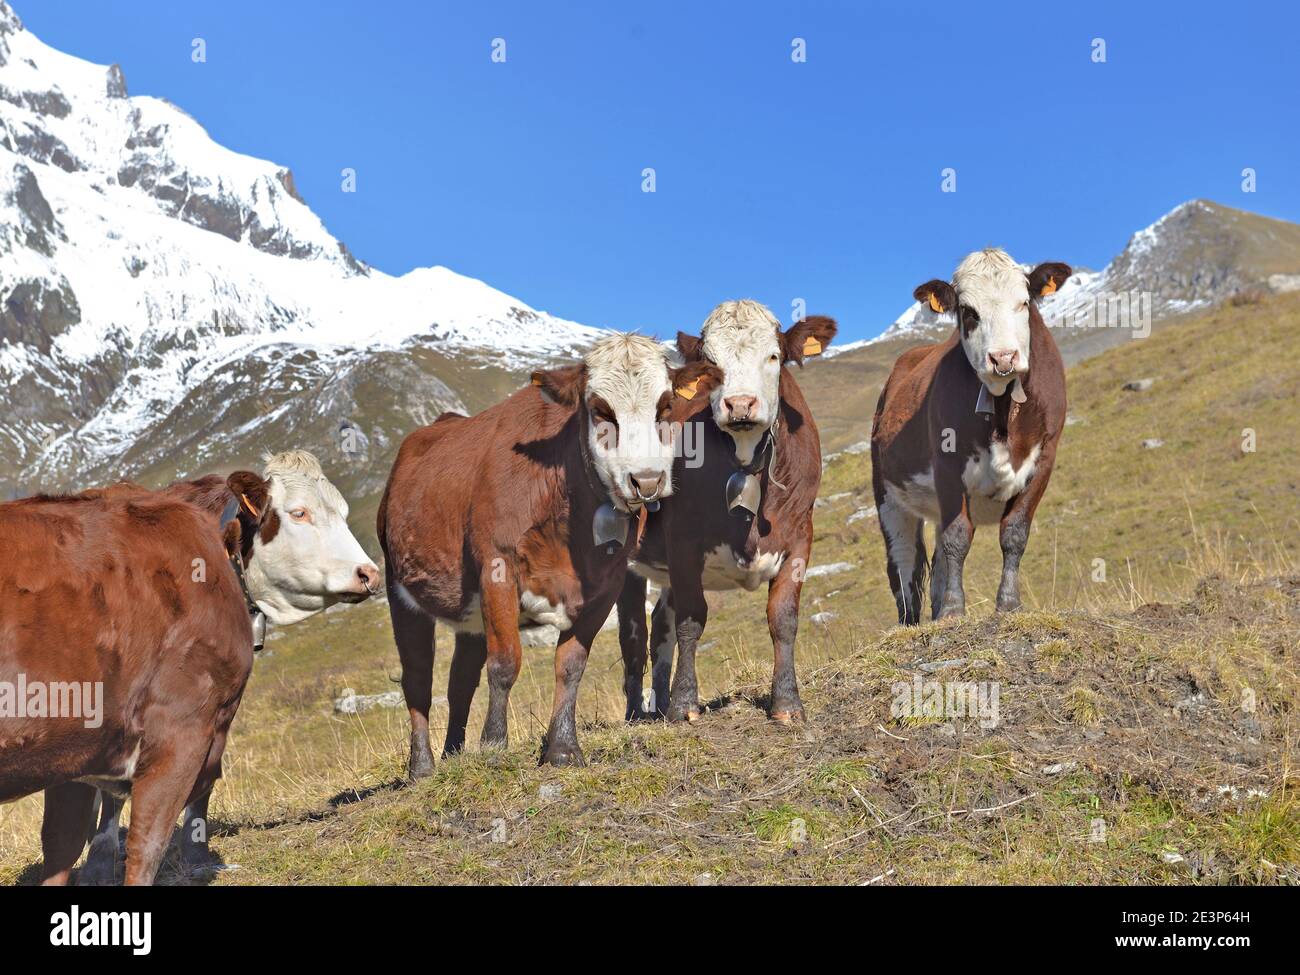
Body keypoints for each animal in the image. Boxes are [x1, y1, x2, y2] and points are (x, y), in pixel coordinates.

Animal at [378, 333, 723, 771]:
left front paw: (562, 747)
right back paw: (422, 766)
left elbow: (571, 664)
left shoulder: (606, 584)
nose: (646, 481)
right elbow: (505, 663)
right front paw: (494, 745)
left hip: (468, 614)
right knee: (418, 679)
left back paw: (453, 752)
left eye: (665, 406)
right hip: (401, 592)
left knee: (460, 680)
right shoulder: (497, 568)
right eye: (599, 410)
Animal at [616, 302, 838, 726]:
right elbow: (691, 621)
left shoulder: (800, 534)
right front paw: (685, 704)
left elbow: (783, 618)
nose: (740, 404)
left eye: (774, 356)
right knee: (632, 633)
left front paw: (787, 703)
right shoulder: (683, 541)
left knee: (659, 624)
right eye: (711, 363)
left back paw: (659, 701)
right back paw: (638, 711)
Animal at [870, 248, 1070, 624]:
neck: (1004, 408)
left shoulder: (1044, 459)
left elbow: (1015, 533)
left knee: (934, 562)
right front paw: (953, 609)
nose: (1003, 358)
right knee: (903, 561)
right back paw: (910, 622)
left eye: (1024, 302)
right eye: (968, 311)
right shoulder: (947, 464)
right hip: (888, 493)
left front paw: (1008, 603)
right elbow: (957, 537)